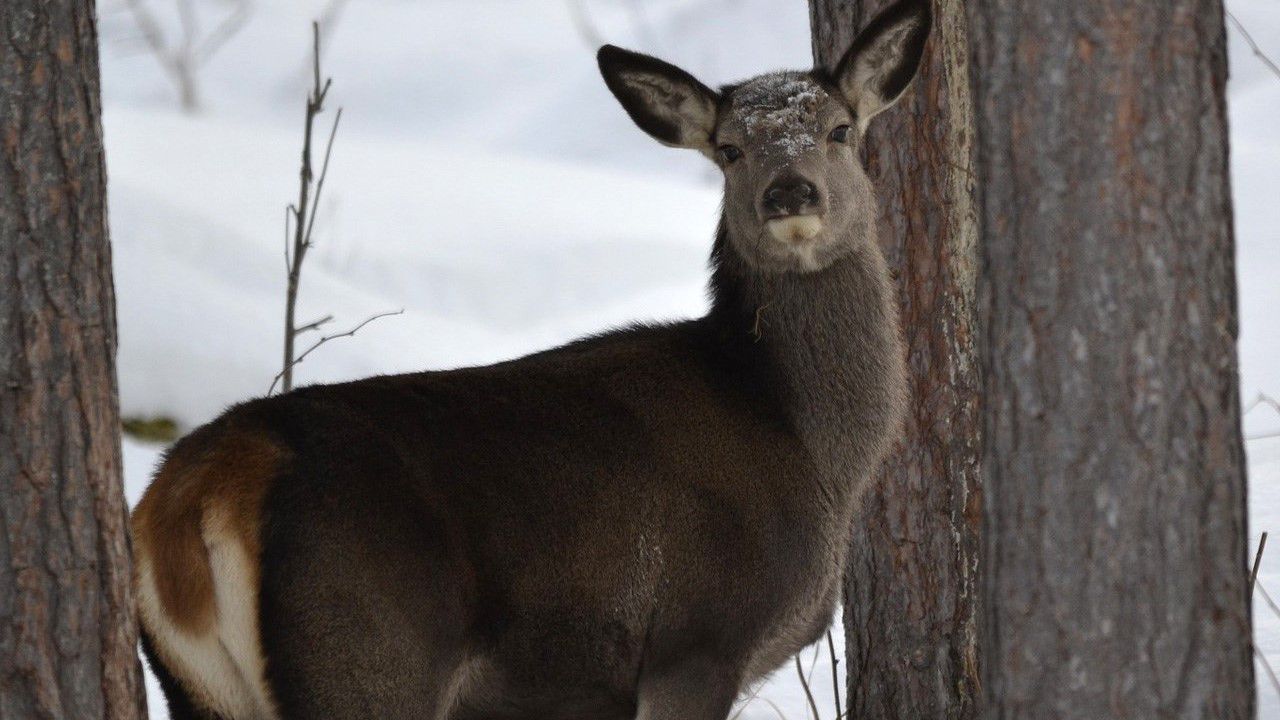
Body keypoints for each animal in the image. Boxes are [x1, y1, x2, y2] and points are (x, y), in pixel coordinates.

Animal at [129, 1, 931, 717]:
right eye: (730, 149)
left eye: (838, 129)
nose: (789, 192)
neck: (807, 444)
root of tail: (194, 493)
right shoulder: (696, 639)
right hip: (362, 651)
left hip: (201, 689)